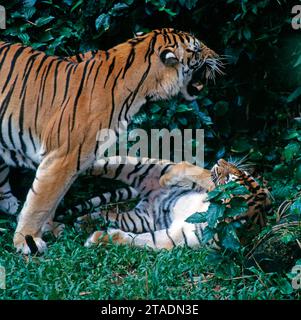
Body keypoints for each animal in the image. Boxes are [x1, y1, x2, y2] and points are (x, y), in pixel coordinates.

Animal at [0, 27, 223, 254]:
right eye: (197, 49)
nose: (217, 57)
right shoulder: (62, 159)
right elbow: (40, 203)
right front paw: (27, 241)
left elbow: (49, 202)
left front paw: (49, 228)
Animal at [61, 157, 270, 250]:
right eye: (244, 174)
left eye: (230, 180)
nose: (221, 160)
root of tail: (149, 195)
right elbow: (194, 172)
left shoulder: (175, 238)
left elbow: (141, 240)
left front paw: (97, 238)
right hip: (141, 165)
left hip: (138, 218)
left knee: (111, 215)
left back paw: (80, 222)